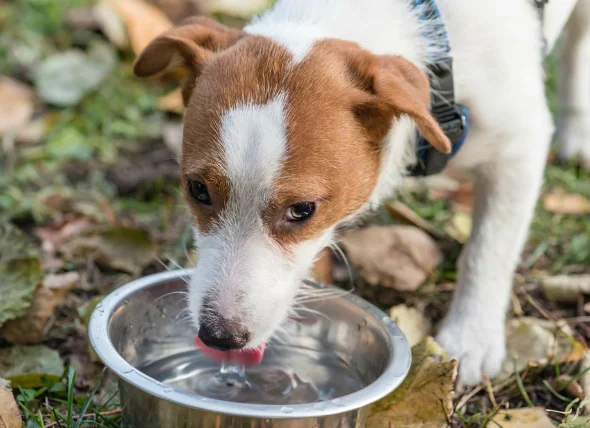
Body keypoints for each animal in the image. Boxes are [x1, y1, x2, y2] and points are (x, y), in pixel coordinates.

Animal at [134, 0, 590, 386]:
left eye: (303, 209)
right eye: (197, 190)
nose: (219, 337)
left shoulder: (519, 148)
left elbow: (487, 252)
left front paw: (471, 337)